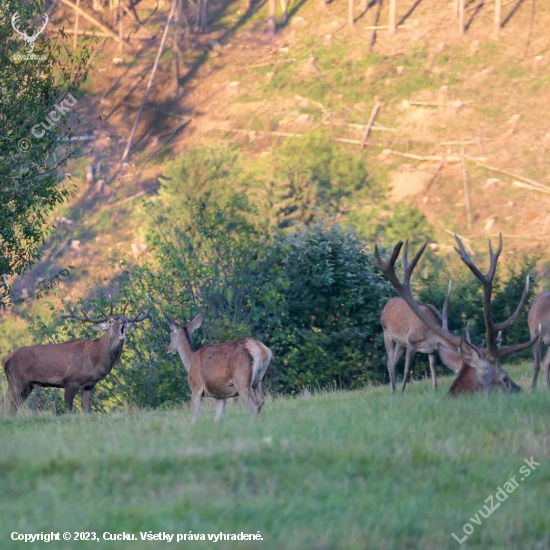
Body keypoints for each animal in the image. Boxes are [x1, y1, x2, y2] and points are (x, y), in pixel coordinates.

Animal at [2, 298, 151, 414]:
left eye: (126, 319)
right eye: (110, 321)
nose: (124, 321)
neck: (94, 360)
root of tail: (5, 358)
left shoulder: (88, 386)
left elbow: (87, 411)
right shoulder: (69, 381)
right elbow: (68, 410)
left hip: (27, 385)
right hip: (16, 381)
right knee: (7, 403)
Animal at [376, 236, 540, 396]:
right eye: (504, 378)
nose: (519, 389)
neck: (431, 335)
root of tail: (385, 307)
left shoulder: (432, 350)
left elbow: (433, 369)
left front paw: (434, 390)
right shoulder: (411, 342)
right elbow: (407, 369)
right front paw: (402, 392)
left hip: (400, 343)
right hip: (388, 335)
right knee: (390, 361)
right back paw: (393, 390)